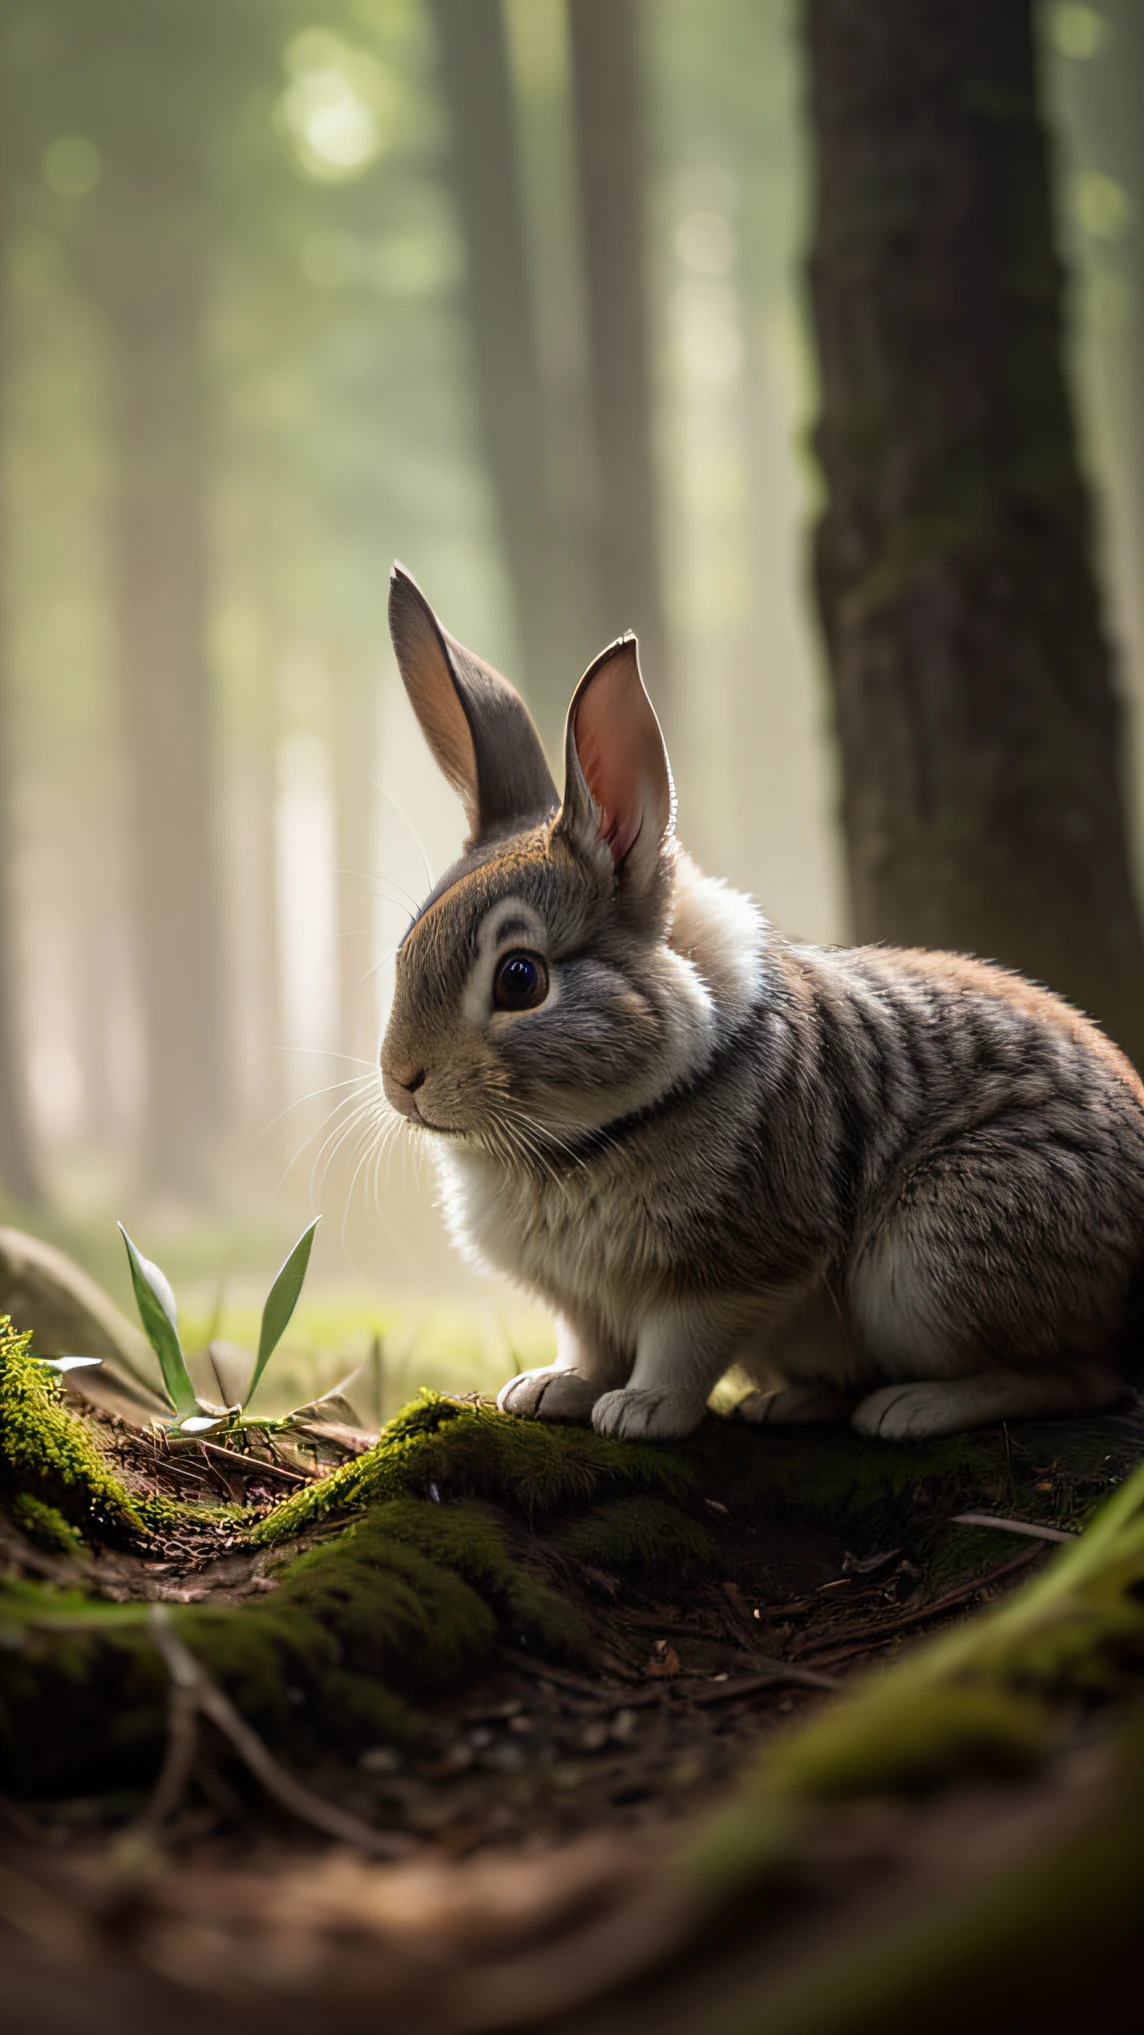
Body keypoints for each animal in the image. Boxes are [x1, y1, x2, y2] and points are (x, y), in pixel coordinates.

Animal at [378, 565, 1139, 1440]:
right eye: (407, 946)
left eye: (519, 978)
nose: (401, 1079)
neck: (590, 1134)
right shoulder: (586, 1305)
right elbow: (591, 1345)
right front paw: (551, 1389)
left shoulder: (737, 1267)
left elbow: (683, 1344)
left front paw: (640, 1411)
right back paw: (790, 1401)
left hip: (939, 1254)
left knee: (1080, 1376)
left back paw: (911, 1407)